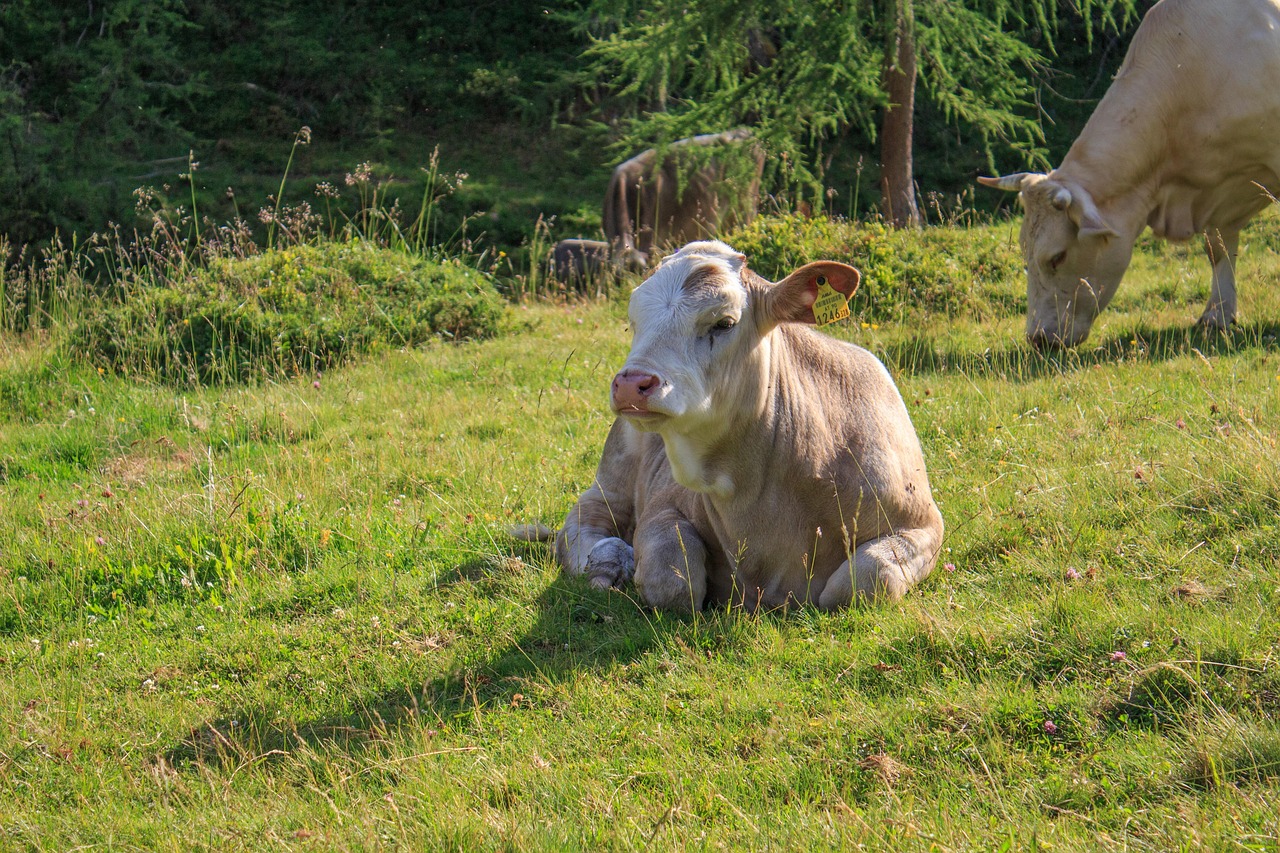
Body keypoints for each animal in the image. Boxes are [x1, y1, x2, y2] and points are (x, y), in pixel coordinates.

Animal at [519, 240, 942, 612]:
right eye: (634, 321)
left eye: (724, 322)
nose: (630, 384)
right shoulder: (662, 505)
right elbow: (671, 578)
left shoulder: (923, 524)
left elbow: (863, 580)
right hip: (611, 480)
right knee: (580, 527)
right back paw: (611, 558)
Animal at [977, 0, 1280, 348]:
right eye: (1025, 250)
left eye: (1057, 257)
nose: (1038, 337)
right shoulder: (1218, 192)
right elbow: (1218, 249)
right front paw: (1217, 315)